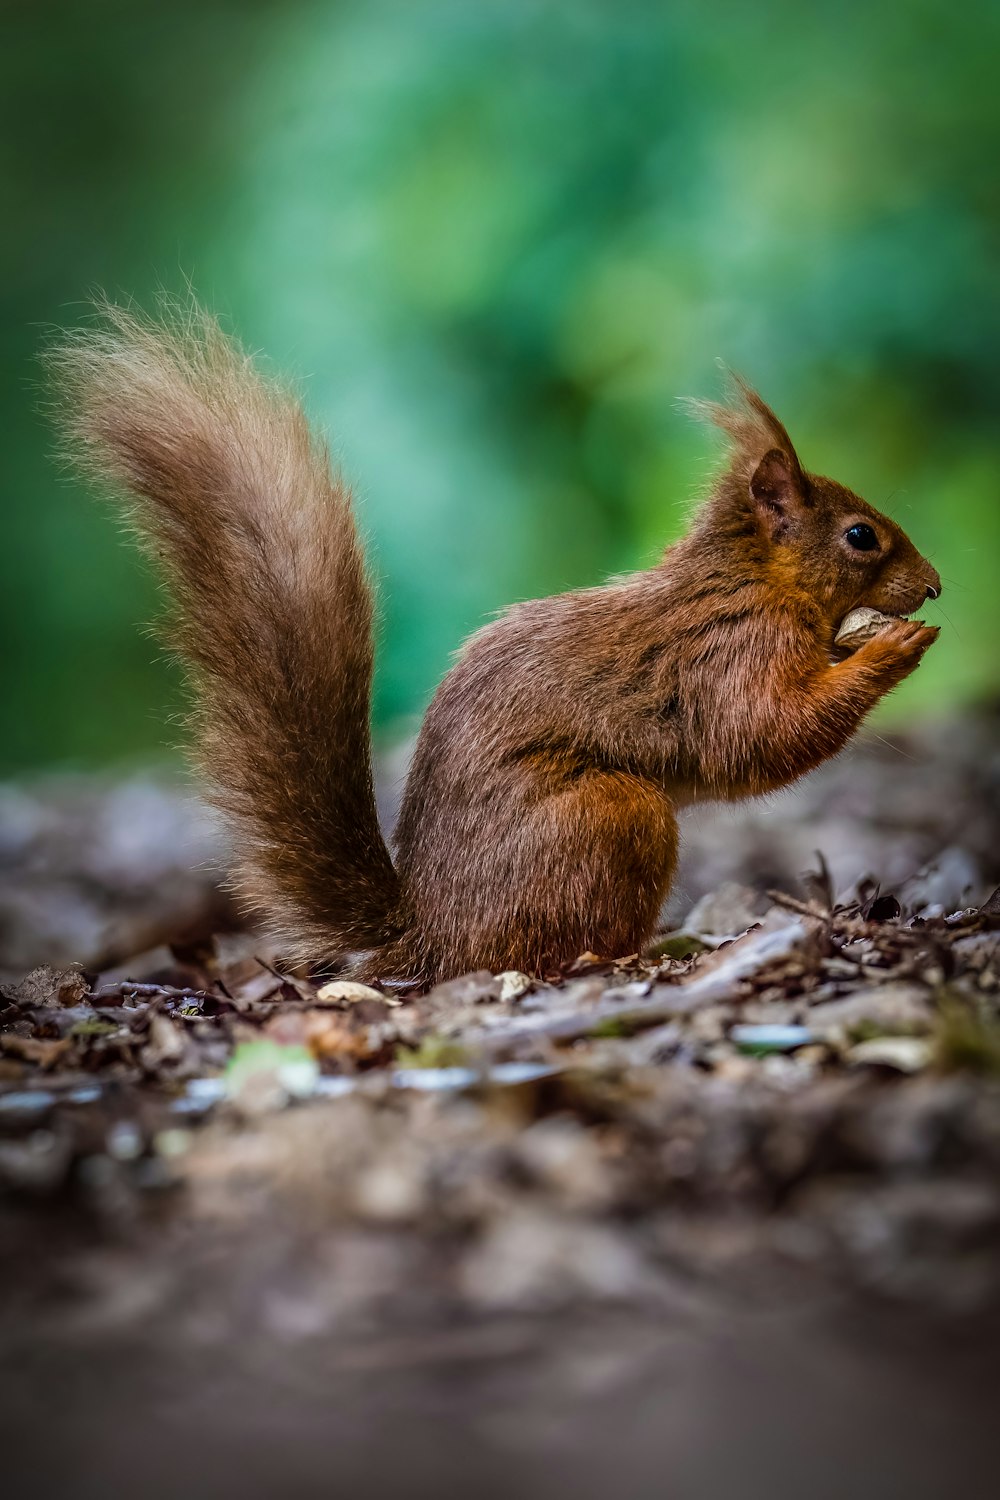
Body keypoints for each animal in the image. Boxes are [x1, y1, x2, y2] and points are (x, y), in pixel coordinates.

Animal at [48, 303, 941, 984]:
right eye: (861, 537)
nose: (935, 586)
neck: (755, 581)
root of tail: (432, 937)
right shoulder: (730, 654)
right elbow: (763, 734)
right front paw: (892, 651)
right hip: (607, 819)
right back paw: (633, 957)